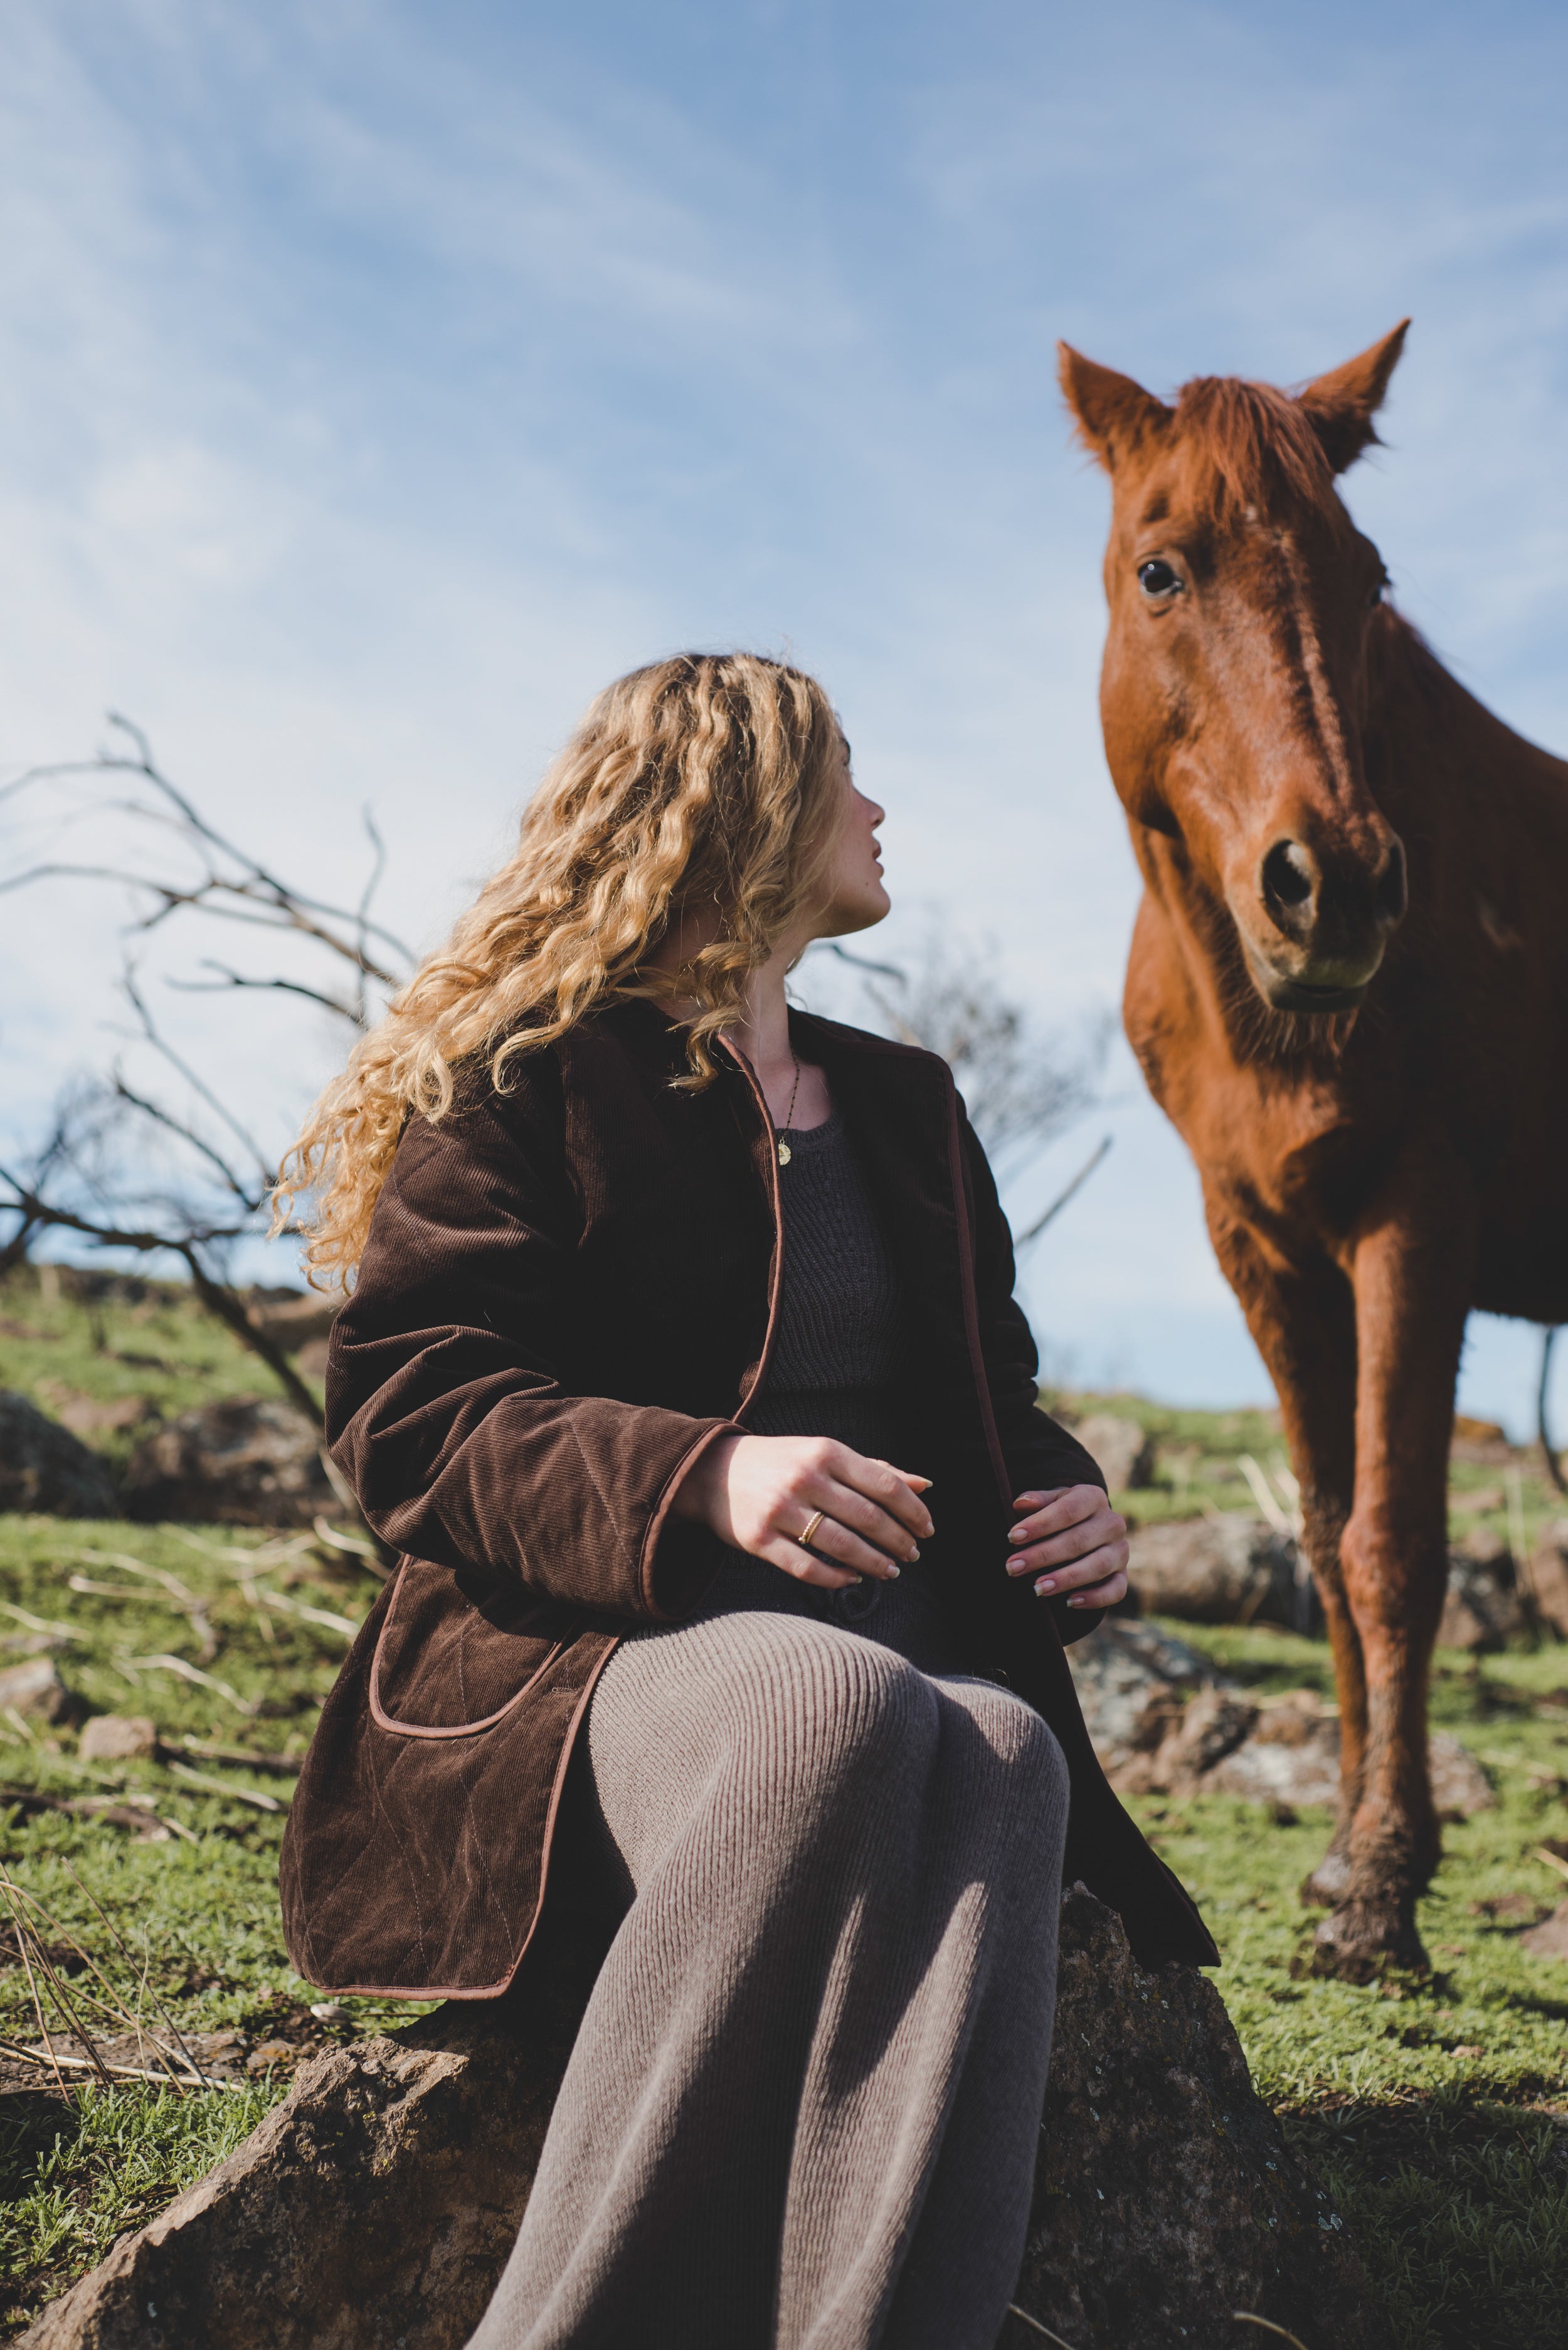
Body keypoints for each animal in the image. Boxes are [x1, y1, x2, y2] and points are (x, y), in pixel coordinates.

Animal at [1062, 326, 1568, 1983]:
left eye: (1367, 572)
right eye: (1161, 569)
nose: (1331, 886)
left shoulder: (1418, 1225)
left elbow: (1393, 1548)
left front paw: (1382, 1887)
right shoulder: (1263, 1248)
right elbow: (1326, 1537)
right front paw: (1348, 1847)